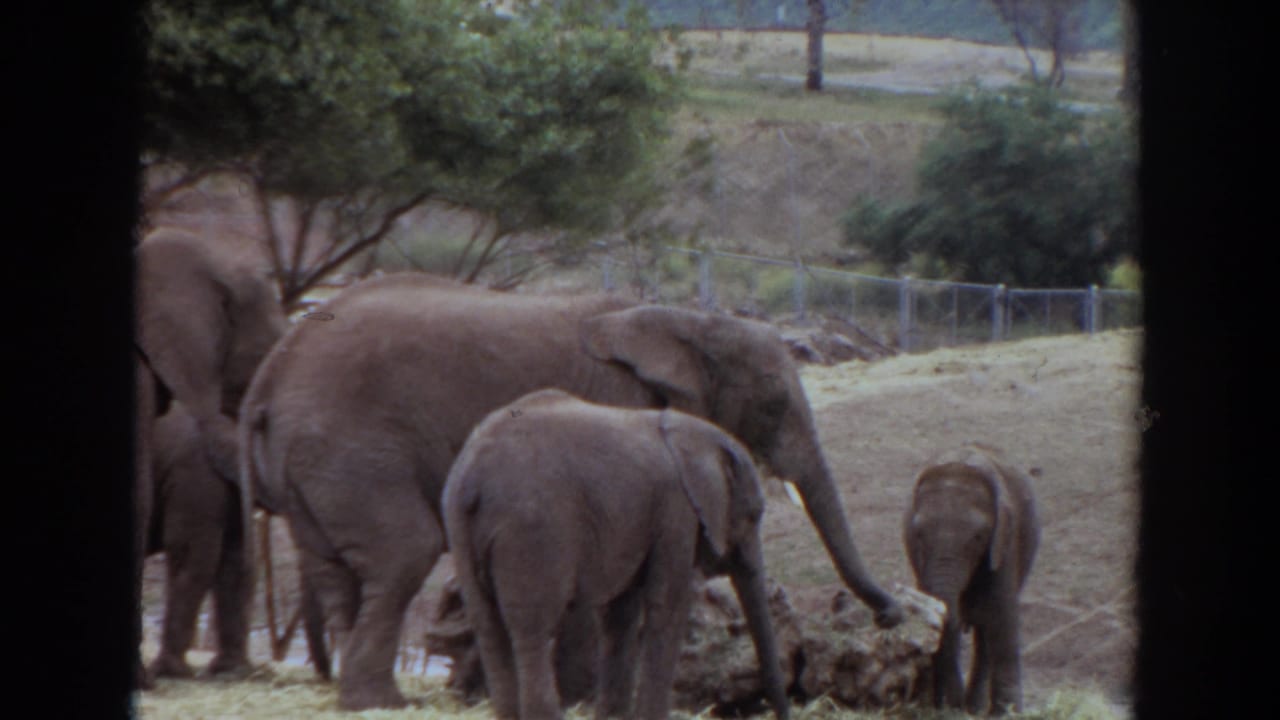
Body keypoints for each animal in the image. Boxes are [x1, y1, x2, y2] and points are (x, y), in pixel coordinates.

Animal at [442, 389, 790, 720]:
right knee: (534, 632)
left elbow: (620, 614)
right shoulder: (676, 510)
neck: (695, 433)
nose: (776, 711)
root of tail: (473, 477)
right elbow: (668, 603)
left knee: (489, 626)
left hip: (460, 524)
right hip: (531, 528)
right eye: (754, 515)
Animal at [903, 444, 1040, 715]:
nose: (953, 705)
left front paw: (1008, 714)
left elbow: (1002, 616)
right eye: (919, 534)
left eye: (978, 537)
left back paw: (978, 709)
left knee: (986, 636)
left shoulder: (1004, 542)